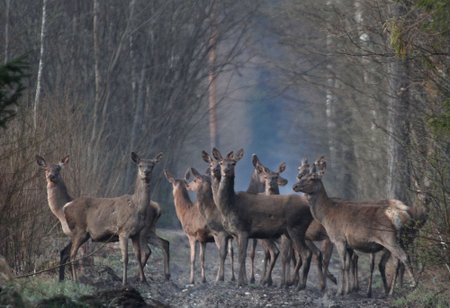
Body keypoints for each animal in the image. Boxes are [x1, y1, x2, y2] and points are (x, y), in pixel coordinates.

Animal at [35, 155, 171, 282]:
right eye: (46, 169)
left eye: (58, 168)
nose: (51, 176)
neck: (61, 211)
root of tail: (157, 208)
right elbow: (64, 253)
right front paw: (62, 280)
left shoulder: (77, 233)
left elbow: (69, 254)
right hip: (150, 230)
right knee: (164, 243)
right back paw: (163, 275)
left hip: (144, 231)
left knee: (147, 250)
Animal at [211, 148, 324, 290]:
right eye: (221, 163)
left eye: (233, 163)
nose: (226, 171)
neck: (230, 206)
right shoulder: (235, 233)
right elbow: (241, 256)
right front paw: (244, 281)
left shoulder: (243, 229)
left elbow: (242, 256)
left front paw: (241, 282)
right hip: (292, 233)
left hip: (296, 228)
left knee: (306, 253)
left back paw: (300, 285)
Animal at [294, 156, 416, 296]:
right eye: (302, 175)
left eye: (312, 178)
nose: (295, 185)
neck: (326, 215)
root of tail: (400, 216)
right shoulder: (348, 244)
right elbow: (348, 264)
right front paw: (347, 290)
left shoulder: (339, 238)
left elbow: (342, 265)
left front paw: (339, 292)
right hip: (401, 239)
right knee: (397, 260)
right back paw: (392, 290)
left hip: (388, 237)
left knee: (403, 257)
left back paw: (412, 284)